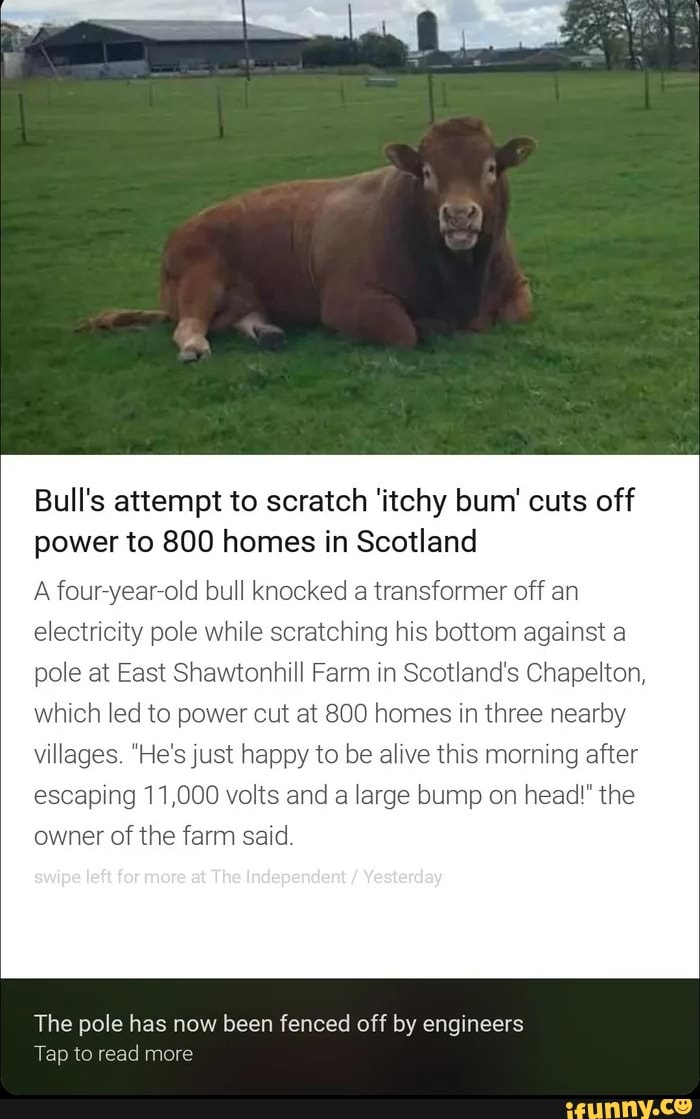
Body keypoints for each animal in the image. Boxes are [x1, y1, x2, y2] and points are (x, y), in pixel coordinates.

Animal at [78, 116, 536, 361]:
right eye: (426, 172)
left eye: (491, 168)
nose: (458, 215)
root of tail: (180, 231)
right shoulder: (349, 301)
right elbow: (404, 331)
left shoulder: (516, 284)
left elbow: (520, 312)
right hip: (199, 277)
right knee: (189, 325)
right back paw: (195, 346)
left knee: (240, 316)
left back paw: (269, 333)